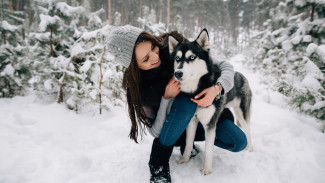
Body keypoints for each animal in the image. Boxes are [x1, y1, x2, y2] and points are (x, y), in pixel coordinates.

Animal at [168, 28, 252, 174]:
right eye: (177, 59)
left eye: (192, 57)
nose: (177, 73)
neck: (196, 90)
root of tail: (241, 75)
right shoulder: (192, 121)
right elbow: (189, 142)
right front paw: (185, 159)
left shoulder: (210, 125)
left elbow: (208, 149)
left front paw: (207, 169)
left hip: (241, 113)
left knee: (248, 128)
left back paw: (250, 148)